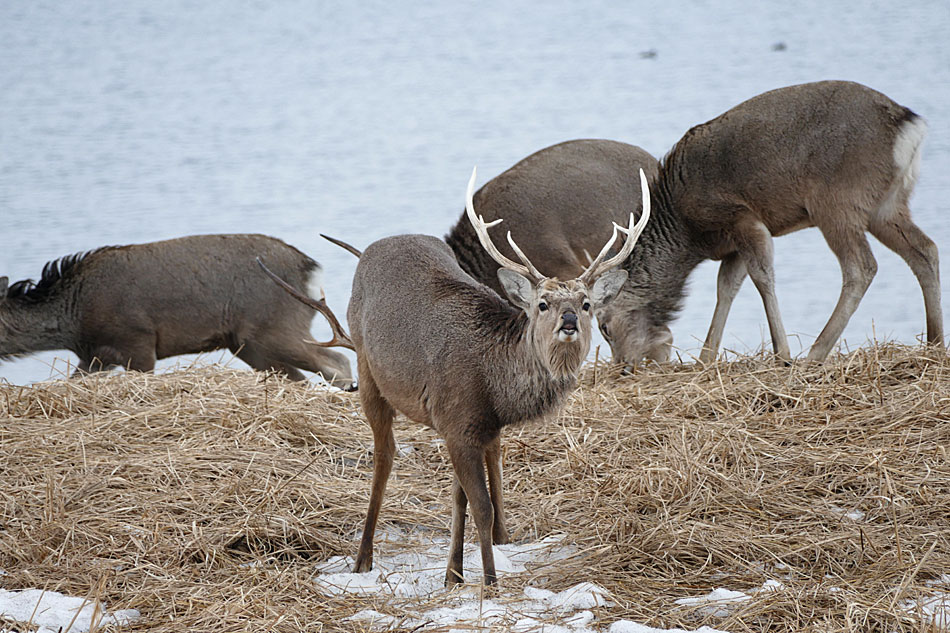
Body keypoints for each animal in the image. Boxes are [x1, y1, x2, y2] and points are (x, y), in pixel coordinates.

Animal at [0, 232, 356, 388]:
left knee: (337, 363)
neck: (75, 320)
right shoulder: (94, 356)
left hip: (276, 327)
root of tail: (311, 269)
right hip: (249, 345)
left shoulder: (138, 342)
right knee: (299, 378)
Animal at [304, 165, 648, 584]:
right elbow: (483, 507)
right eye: (542, 304)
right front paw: (489, 581)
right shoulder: (458, 419)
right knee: (383, 457)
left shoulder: (476, 428)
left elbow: (461, 499)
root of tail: (376, 246)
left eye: (585, 304)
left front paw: (453, 575)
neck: (495, 384)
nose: (568, 322)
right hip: (368, 368)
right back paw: (362, 558)